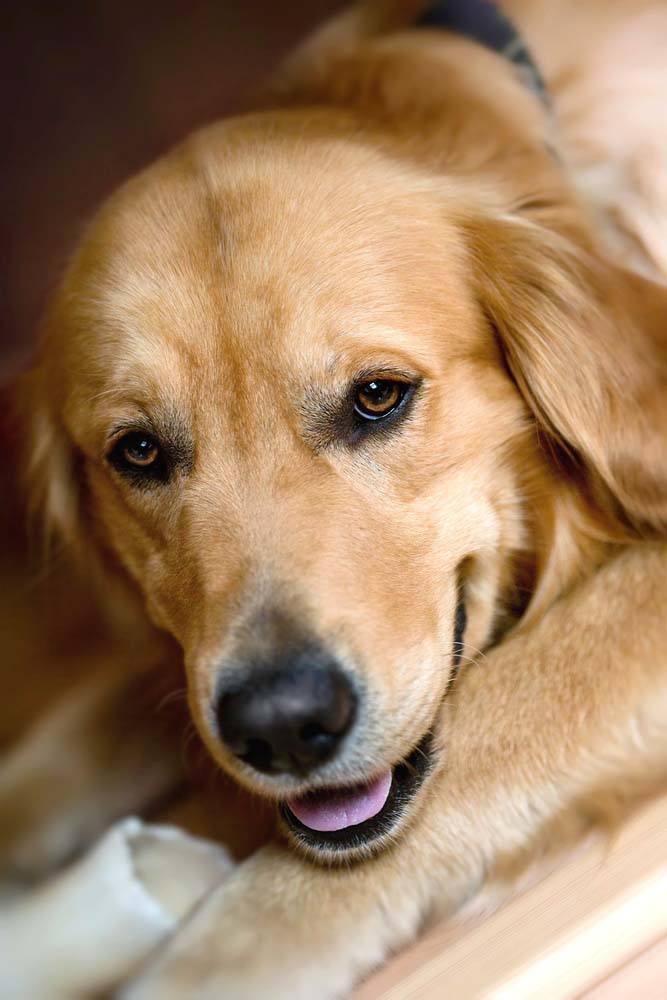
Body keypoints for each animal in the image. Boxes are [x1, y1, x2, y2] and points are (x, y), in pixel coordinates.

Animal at [1, 0, 667, 996]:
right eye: (139, 451)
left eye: (377, 396)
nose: (281, 727)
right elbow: (97, 718)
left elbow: (496, 722)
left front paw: (219, 959)